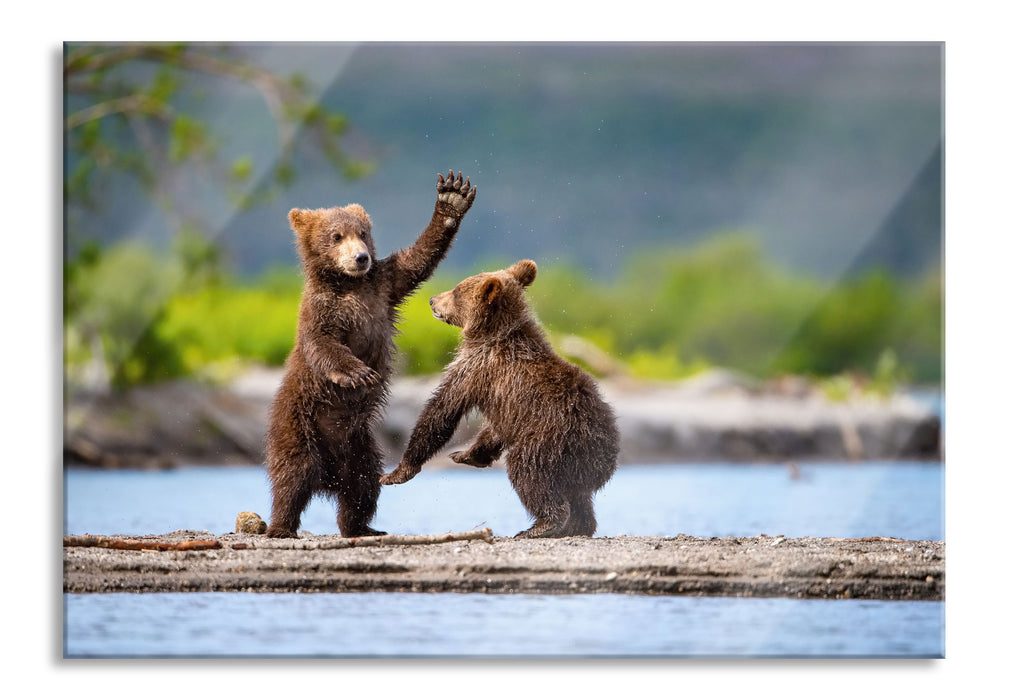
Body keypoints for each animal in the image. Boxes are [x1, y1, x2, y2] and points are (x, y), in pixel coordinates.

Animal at [264, 170, 476, 536]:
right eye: (336, 236)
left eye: (362, 233)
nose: (361, 257)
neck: (348, 284)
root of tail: (327, 479)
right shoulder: (321, 311)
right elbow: (322, 344)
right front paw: (358, 372)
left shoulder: (383, 286)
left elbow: (416, 261)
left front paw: (452, 197)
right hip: (300, 425)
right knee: (292, 476)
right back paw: (281, 525)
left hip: (359, 445)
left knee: (363, 485)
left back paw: (361, 526)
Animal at [381, 260, 617, 540]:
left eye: (456, 291)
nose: (432, 300)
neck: (490, 333)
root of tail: (607, 457)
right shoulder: (499, 398)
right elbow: (492, 430)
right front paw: (464, 454)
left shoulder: (476, 368)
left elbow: (442, 411)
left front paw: (397, 472)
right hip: (575, 464)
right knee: (579, 496)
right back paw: (578, 527)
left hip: (552, 442)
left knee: (528, 473)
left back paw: (540, 526)